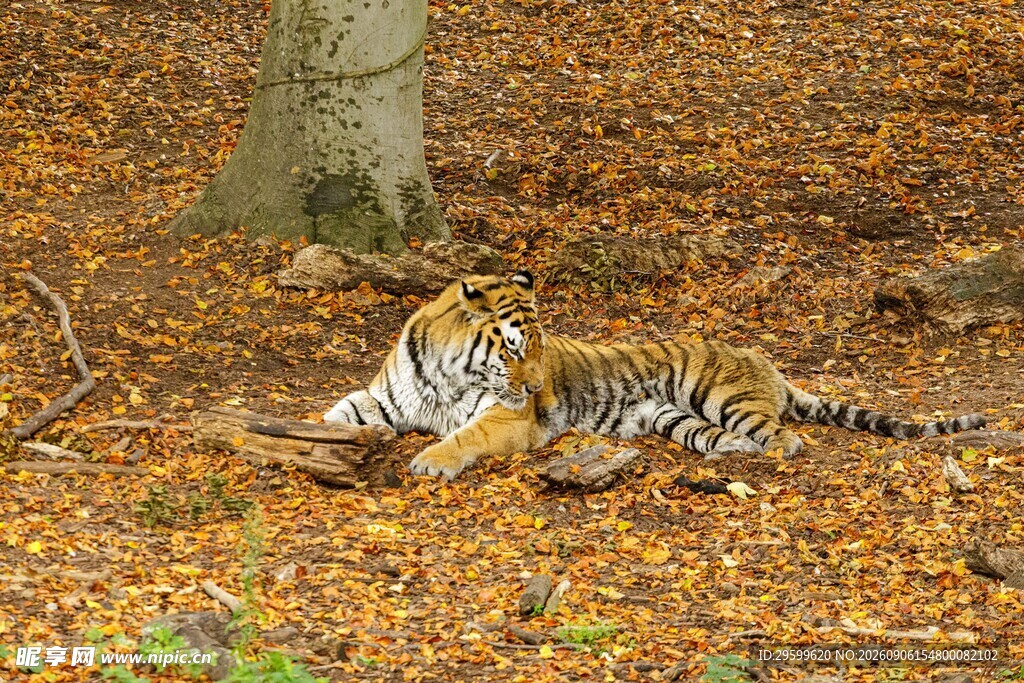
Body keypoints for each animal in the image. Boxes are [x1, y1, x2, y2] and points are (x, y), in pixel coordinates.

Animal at [324, 271, 986, 480]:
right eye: (514, 350)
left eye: (539, 351)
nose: (537, 388)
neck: (444, 369)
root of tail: (767, 362)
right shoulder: (381, 398)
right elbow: (336, 413)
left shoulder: (506, 418)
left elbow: (466, 436)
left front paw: (431, 460)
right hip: (673, 417)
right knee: (732, 437)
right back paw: (727, 454)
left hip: (718, 396)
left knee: (788, 438)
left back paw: (761, 456)